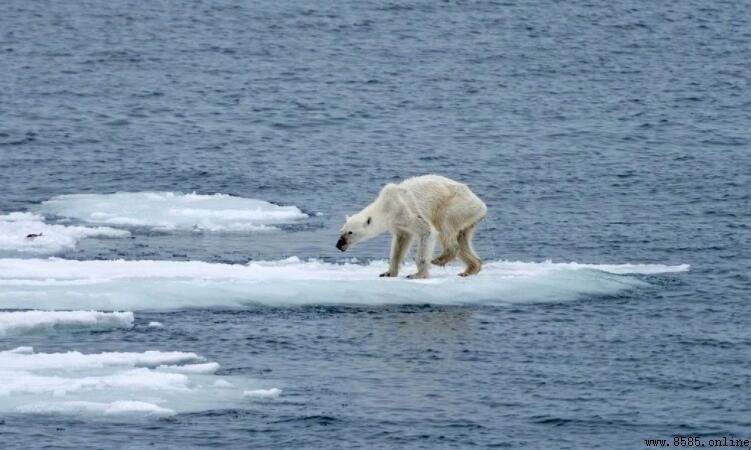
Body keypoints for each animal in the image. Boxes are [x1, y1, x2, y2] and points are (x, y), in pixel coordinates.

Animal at [336, 174, 487, 279]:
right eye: (341, 231)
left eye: (350, 232)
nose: (339, 245)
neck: (386, 206)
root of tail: (481, 205)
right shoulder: (398, 224)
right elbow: (400, 243)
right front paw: (388, 273)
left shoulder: (405, 211)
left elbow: (427, 231)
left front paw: (417, 275)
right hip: (468, 217)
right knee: (462, 239)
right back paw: (470, 269)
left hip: (456, 205)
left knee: (444, 225)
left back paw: (439, 259)